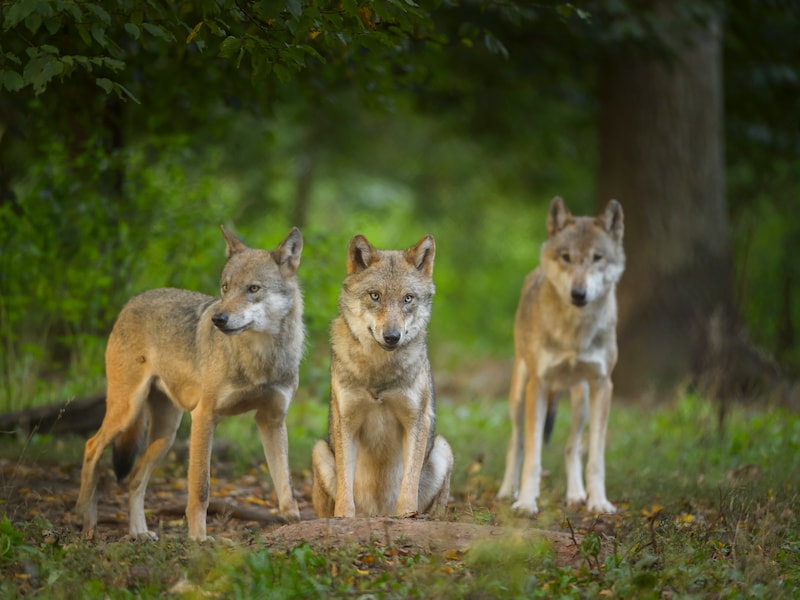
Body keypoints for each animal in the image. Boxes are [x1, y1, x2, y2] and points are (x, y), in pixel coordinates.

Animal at [75, 226, 304, 541]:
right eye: (225, 288)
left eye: (253, 289)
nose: (218, 319)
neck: (260, 359)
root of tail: (132, 301)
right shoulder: (205, 416)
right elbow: (200, 489)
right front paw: (198, 538)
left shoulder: (271, 419)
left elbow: (287, 488)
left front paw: (297, 525)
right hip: (127, 412)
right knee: (91, 446)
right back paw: (87, 522)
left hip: (166, 436)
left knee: (135, 479)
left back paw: (139, 533)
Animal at [311, 234, 453, 519]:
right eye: (375, 296)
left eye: (408, 298)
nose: (392, 336)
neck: (379, 370)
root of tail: (377, 512)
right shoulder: (346, 421)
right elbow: (345, 486)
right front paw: (343, 517)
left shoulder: (416, 420)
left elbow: (408, 483)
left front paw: (407, 516)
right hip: (319, 450)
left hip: (443, 448)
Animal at [496, 197, 625, 517]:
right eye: (566, 257)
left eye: (597, 258)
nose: (579, 293)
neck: (573, 334)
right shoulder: (538, 386)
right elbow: (533, 456)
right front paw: (526, 503)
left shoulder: (603, 385)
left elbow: (596, 458)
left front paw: (598, 502)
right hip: (519, 395)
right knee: (516, 443)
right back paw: (506, 492)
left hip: (581, 401)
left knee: (571, 447)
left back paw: (576, 495)